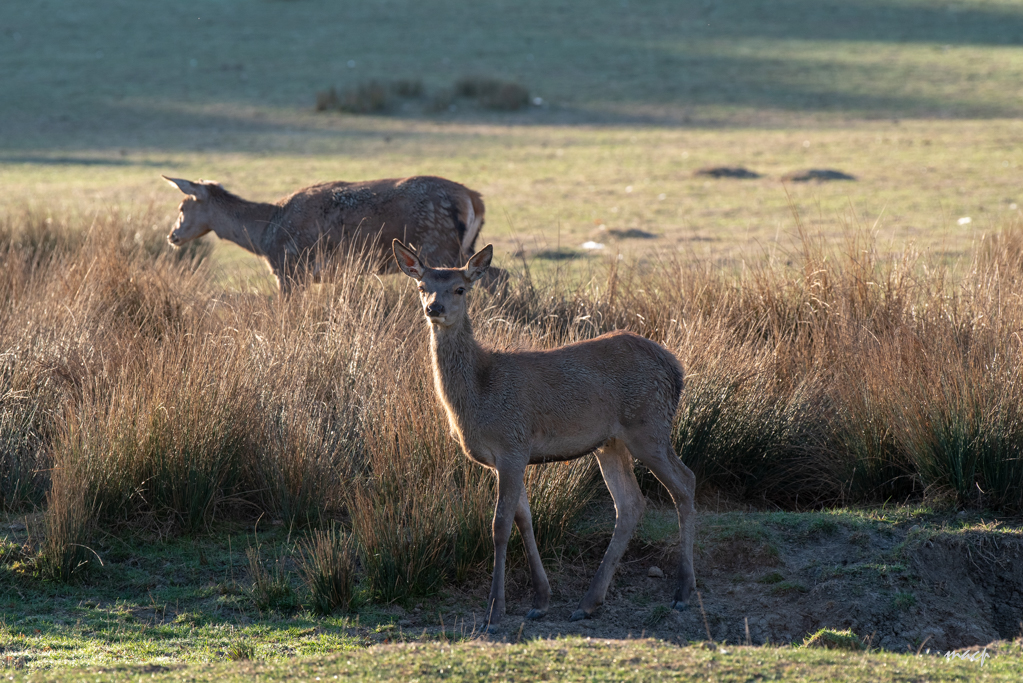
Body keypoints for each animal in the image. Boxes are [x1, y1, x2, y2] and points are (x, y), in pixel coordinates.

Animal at [162, 174, 486, 294]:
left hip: (439, 246)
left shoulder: (289, 267)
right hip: (462, 247)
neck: (264, 233)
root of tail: (474, 198)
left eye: (182, 206)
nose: (172, 236)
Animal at [390, 239, 695, 629]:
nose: (434, 308)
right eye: (421, 286)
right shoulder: (504, 458)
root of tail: (676, 369)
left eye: (460, 288)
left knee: (684, 483)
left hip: (649, 425)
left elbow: (500, 524)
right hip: (611, 442)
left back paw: (683, 593)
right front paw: (540, 600)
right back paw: (588, 602)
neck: (479, 394)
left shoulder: (512, 444)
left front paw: (494, 610)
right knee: (630, 503)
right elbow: (524, 519)